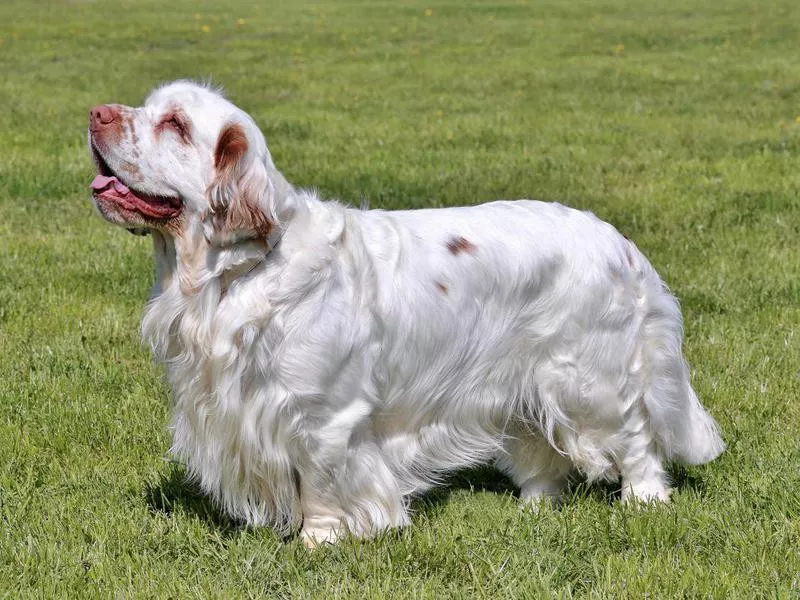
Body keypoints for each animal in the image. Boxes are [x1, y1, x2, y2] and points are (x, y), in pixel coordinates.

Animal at [87, 82, 724, 548]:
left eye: (174, 124)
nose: (95, 113)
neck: (237, 273)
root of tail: (621, 243)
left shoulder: (324, 416)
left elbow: (319, 484)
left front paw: (318, 543)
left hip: (589, 379)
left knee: (636, 435)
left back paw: (645, 499)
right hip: (520, 380)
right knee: (542, 447)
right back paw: (534, 507)